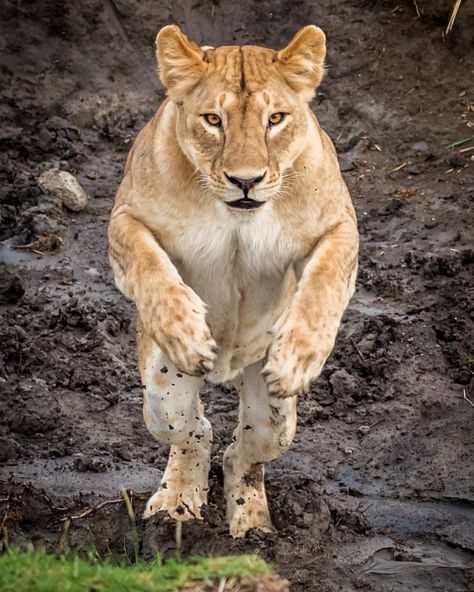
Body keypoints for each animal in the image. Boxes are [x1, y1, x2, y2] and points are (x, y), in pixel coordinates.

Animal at [108, 25, 360, 540]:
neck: (236, 216)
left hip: (274, 417)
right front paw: (184, 331)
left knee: (245, 450)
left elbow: (323, 285)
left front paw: (298, 356)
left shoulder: (340, 226)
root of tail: (231, 368)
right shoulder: (126, 220)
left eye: (276, 119)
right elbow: (150, 268)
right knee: (192, 431)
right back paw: (177, 504)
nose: (247, 180)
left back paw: (252, 525)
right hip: (161, 393)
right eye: (213, 120)